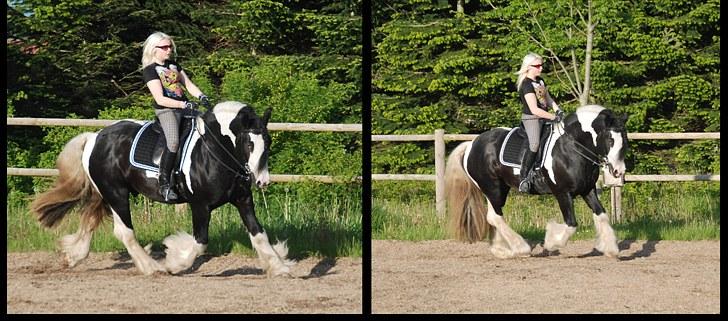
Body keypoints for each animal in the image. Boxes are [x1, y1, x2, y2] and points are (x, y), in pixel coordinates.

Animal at [31, 100, 292, 276]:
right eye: (248, 143)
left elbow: (259, 234)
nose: (261, 181)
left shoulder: (243, 200)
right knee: (124, 232)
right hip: (116, 193)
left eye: (267, 141)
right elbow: (200, 242)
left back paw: (73, 257)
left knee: (90, 220)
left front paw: (279, 266)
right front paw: (174, 261)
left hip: (104, 193)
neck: (214, 152)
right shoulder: (200, 205)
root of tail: (95, 137)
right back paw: (152, 267)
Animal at [446, 105, 628, 258]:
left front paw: (611, 249)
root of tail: (471, 144)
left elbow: (602, 215)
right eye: (610, 139)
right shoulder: (563, 193)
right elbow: (571, 224)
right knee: (495, 217)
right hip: (492, 188)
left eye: (624, 140)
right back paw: (521, 248)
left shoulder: (588, 190)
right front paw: (551, 242)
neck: (572, 147)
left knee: (493, 216)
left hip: (498, 189)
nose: (619, 171)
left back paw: (502, 250)